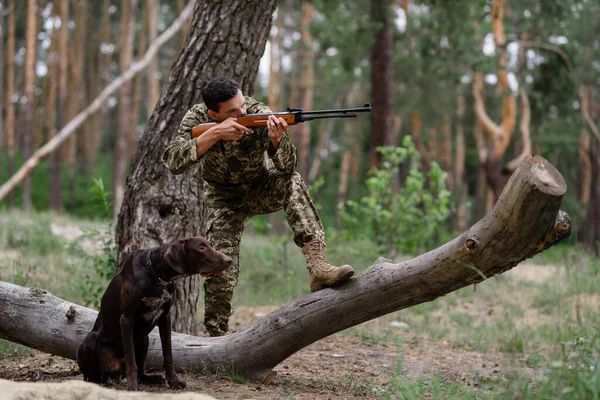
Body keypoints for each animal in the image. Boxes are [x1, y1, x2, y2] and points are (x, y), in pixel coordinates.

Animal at [76, 238, 231, 390]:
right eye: (201, 248)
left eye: (210, 245)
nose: (229, 260)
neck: (157, 274)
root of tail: (113, 372)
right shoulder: (126, 319)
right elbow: (131, 362)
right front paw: (132, 388)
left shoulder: (165, 317)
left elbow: (168, 355)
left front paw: (174, 382)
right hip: (90, 339)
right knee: (90, 376)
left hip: (144, 339)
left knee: (140, 371)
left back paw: (150, 379)